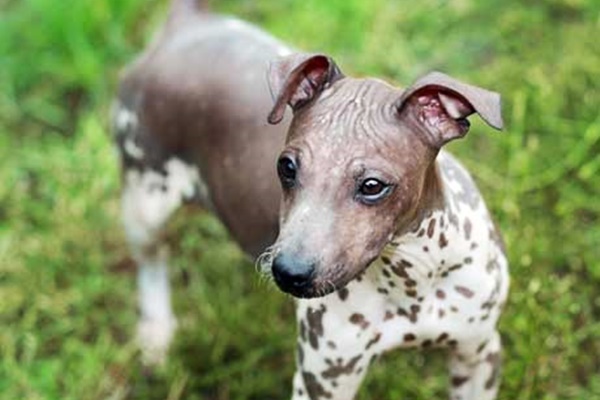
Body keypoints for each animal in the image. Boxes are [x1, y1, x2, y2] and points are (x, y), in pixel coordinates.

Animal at [111, 1, 506, 398]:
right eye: (286, 167)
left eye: (372, 185)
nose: (288, 272)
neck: (409, 278)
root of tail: (187, 23)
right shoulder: (324, 379)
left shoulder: (478, 355)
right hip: (145, 202)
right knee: (151, 262)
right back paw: (157, 334)